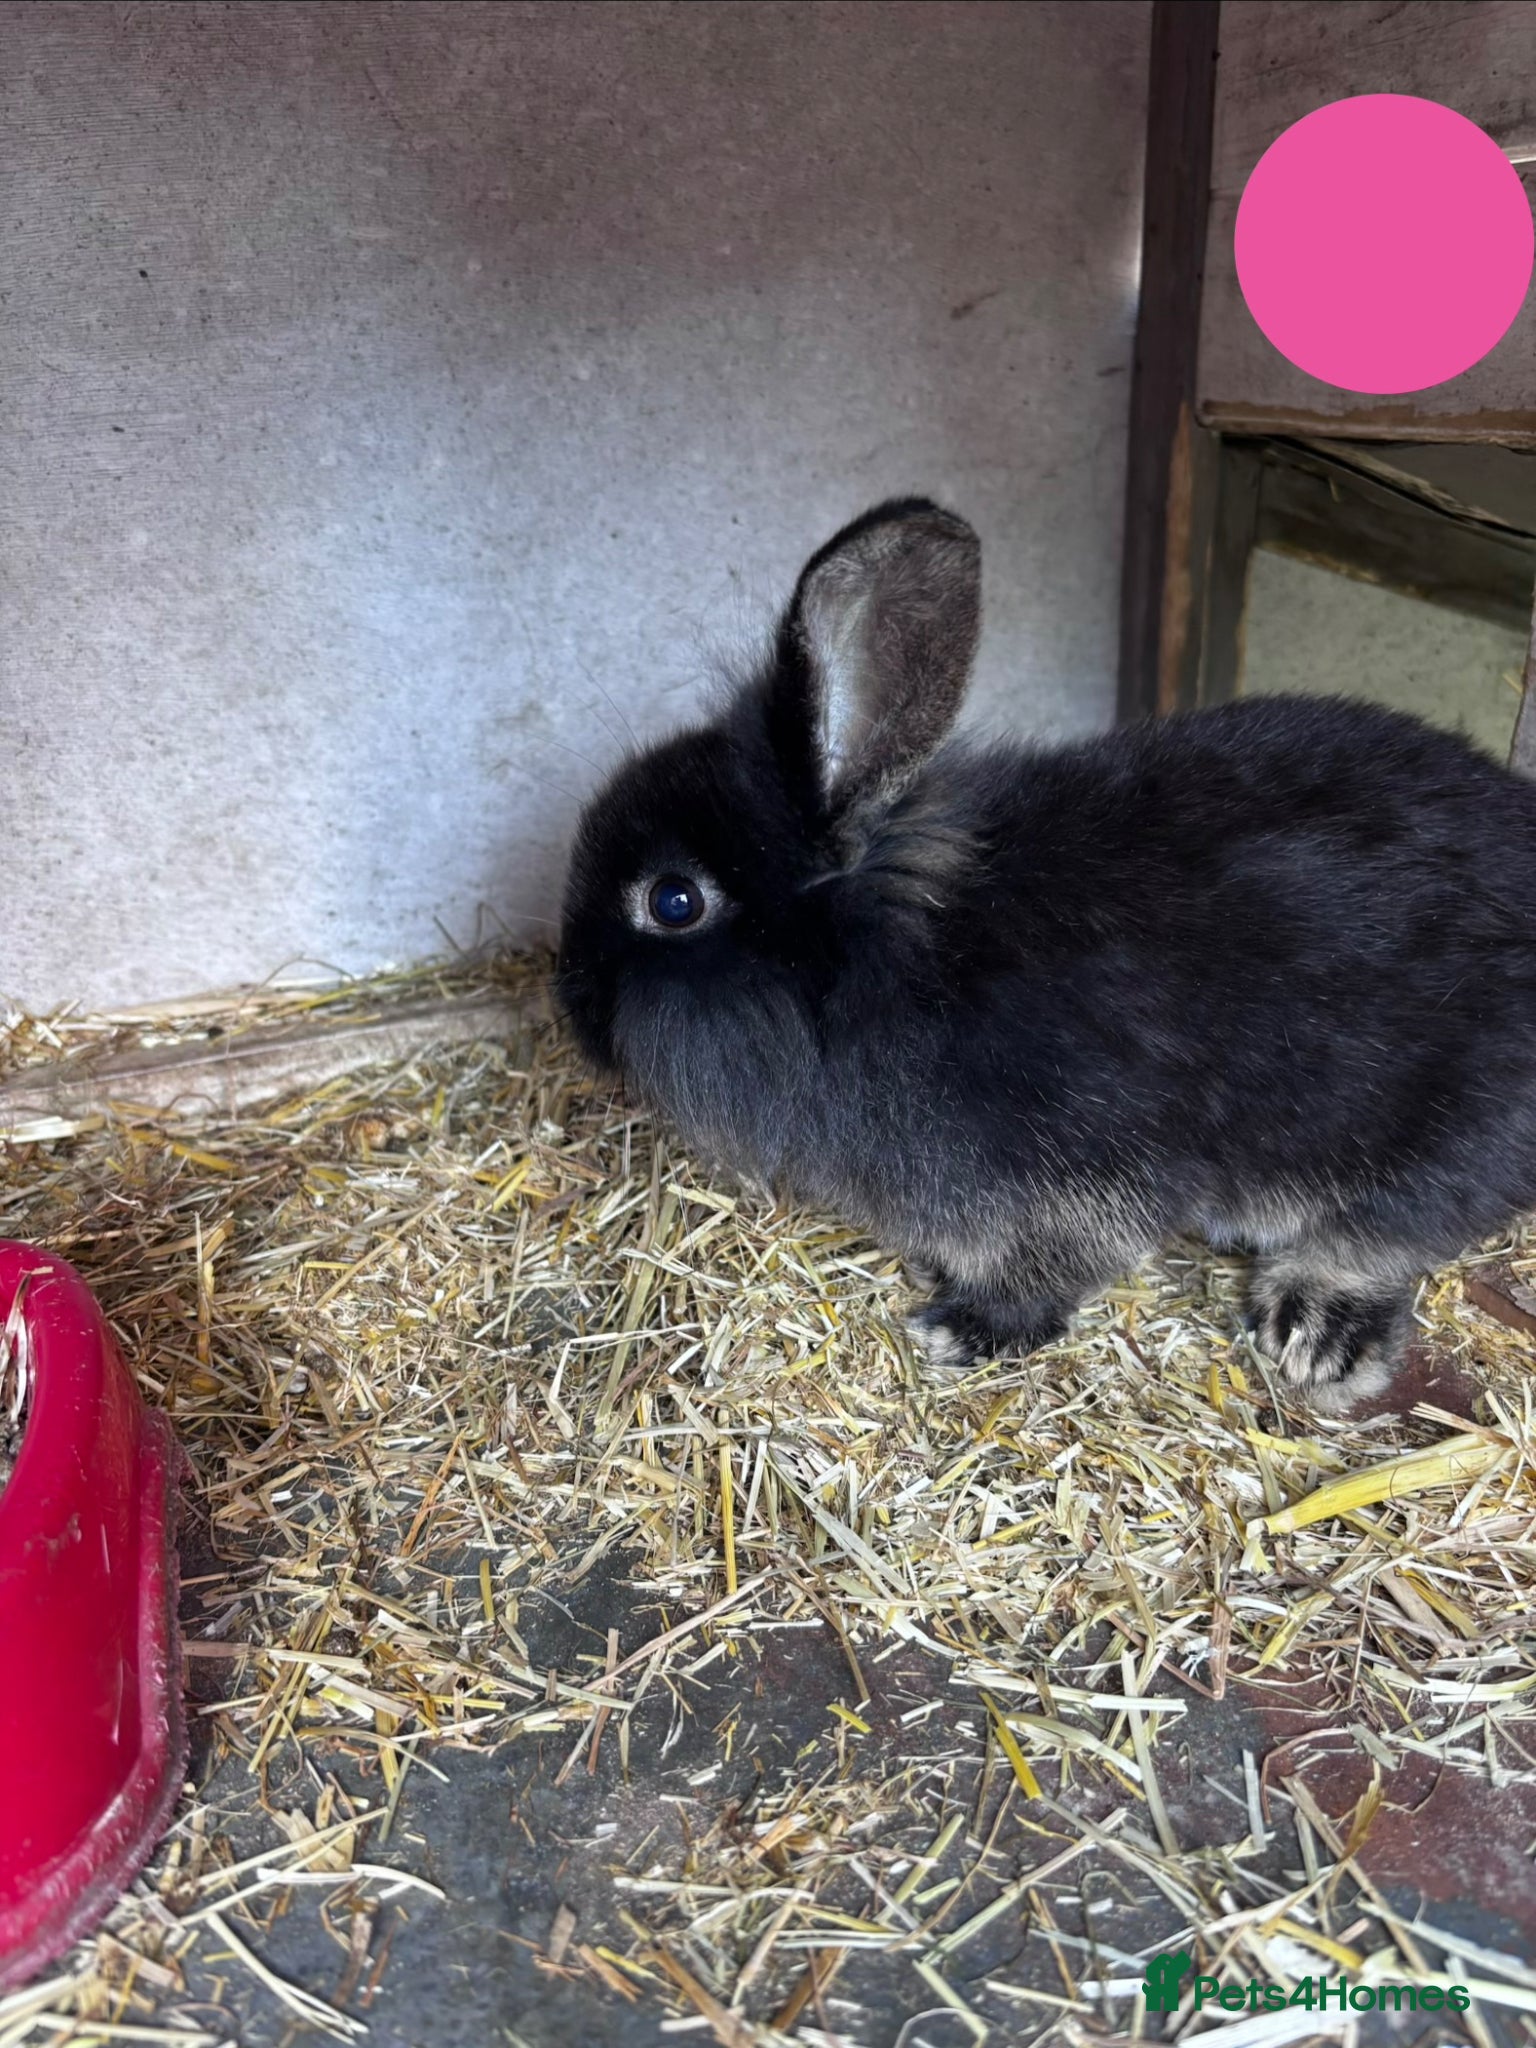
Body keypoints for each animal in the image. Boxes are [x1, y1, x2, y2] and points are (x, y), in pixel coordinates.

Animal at [556, 498, 1536, 1412]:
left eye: (673, 901)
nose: (570, 1006)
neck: (892, 965)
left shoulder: (1075, 1180)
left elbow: (1055, 1269)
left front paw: (960, 1330)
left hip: (1425, 1132)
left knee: (1390, 1235)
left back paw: (1315, 1331)